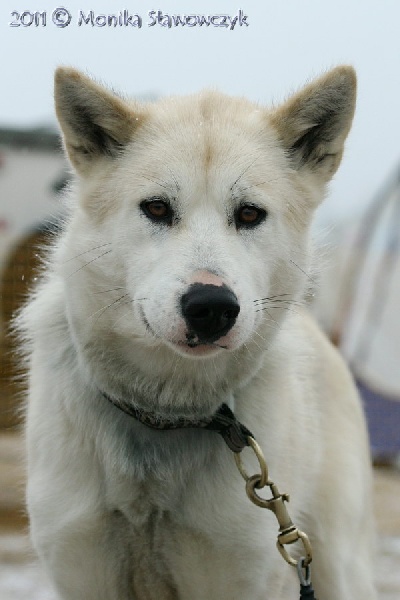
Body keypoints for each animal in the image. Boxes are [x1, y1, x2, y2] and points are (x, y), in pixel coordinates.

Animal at [18, 66, 376, 599]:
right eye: (156, 208)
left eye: (249, 214)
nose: (211, 307)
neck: (165, 414)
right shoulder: (83, 570)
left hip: (338, 565)